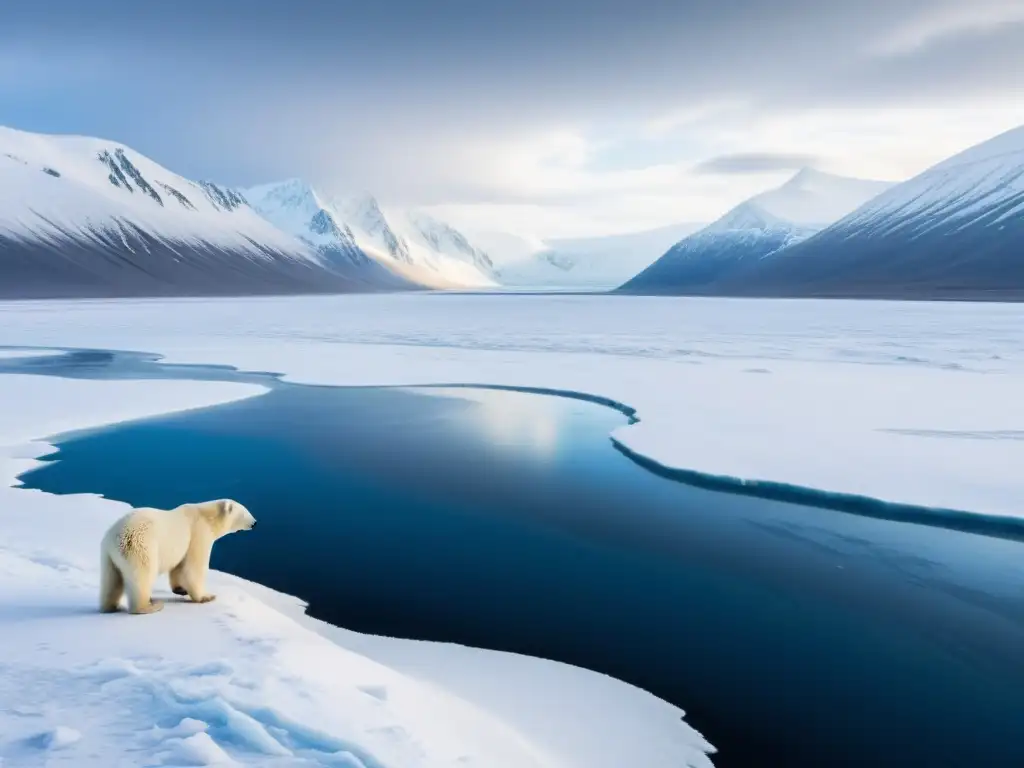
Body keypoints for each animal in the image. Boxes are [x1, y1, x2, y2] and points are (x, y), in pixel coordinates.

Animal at [97, 499, 256, 618]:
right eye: (244, 512)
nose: (255, 523)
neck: (207, 516)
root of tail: (115, 537)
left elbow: (178, 567)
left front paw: (181, 589)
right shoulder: (198, 533)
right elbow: (193, 568)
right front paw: (206, 597)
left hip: (108, 555)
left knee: (111, 580)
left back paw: (110, 606)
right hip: (140, 546)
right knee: (142, 575)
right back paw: (148, 606)